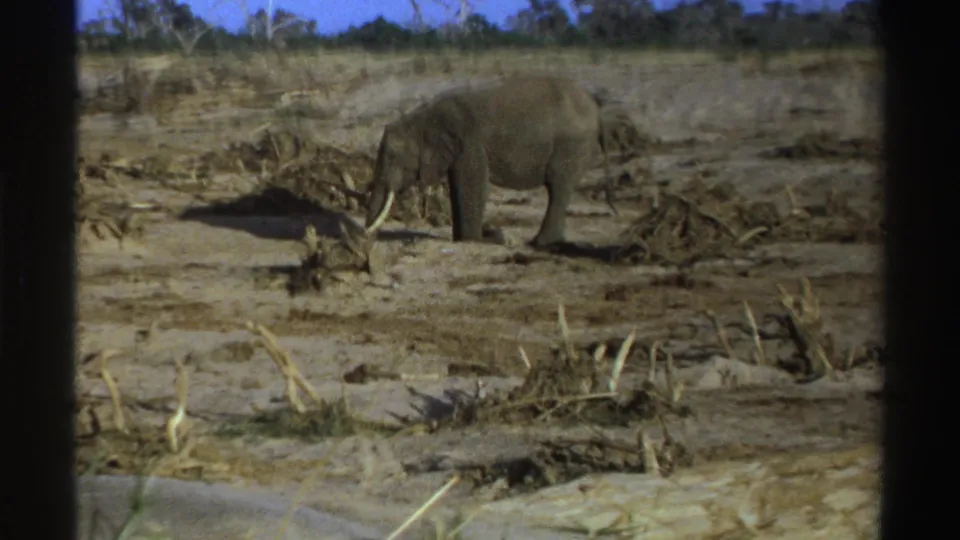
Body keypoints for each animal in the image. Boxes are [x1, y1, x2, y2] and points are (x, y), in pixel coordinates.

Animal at [363, 76, 622, 247]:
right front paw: (466, 238)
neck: (422, 117)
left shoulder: (470, 143)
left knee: (558, 187)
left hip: (572, 144)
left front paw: (478, 240)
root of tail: (597, 111)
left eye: (393, 158)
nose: (368, 239)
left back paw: (539, 244)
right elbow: (457, 186)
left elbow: (473, 184)